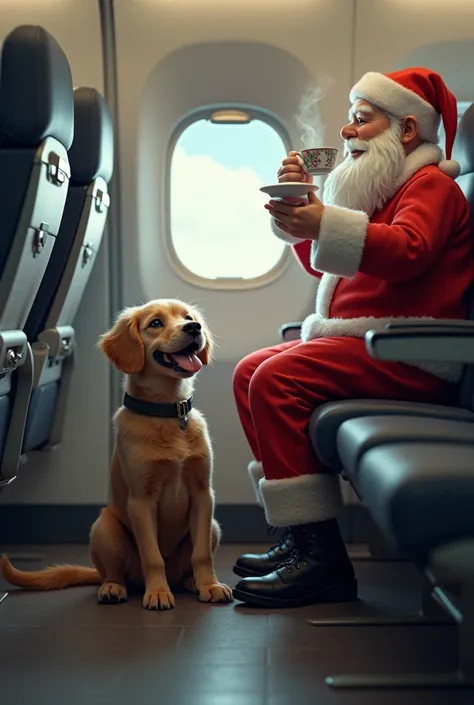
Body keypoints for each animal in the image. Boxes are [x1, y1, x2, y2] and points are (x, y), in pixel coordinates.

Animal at [2, 296, 232, 612]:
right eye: (156, 323)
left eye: (188, 317)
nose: (194, 328)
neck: (168, 413)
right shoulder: (141, 501)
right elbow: (152, 555)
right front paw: (157, 592)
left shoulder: (202, 494)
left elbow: (202, 555)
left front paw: (210, 585)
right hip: (104, 528)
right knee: (114, 573)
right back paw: (114, 588)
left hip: (214, 527)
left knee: (188, 563)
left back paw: (192, 582)